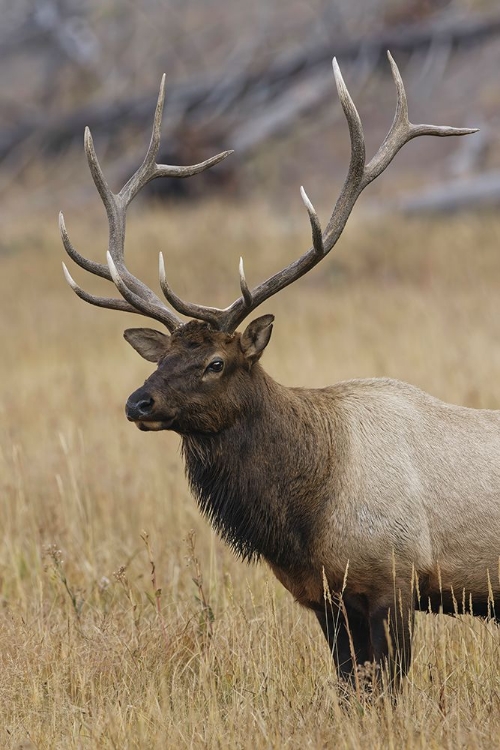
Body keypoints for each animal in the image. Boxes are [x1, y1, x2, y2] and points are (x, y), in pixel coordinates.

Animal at [60, 51, 498, 688]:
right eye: (162, 357)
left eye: (216, 362)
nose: (137, 403)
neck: (306, 516)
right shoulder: (324, 597)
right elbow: (350, 687)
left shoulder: (395, 577)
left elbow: (388, 685)